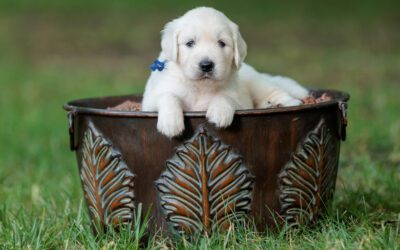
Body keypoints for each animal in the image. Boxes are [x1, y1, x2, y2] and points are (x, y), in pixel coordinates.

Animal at [142, 6, 308, 138]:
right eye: (190, 43)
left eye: (221, 43)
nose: (206, 65)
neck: (201, 86)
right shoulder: (149, 102)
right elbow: (168, 96)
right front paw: (171, 123)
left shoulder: (242, 103)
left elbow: (226, 96)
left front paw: (220, 112)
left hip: (257, 82)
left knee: (274, 90)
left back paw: (288, 102)